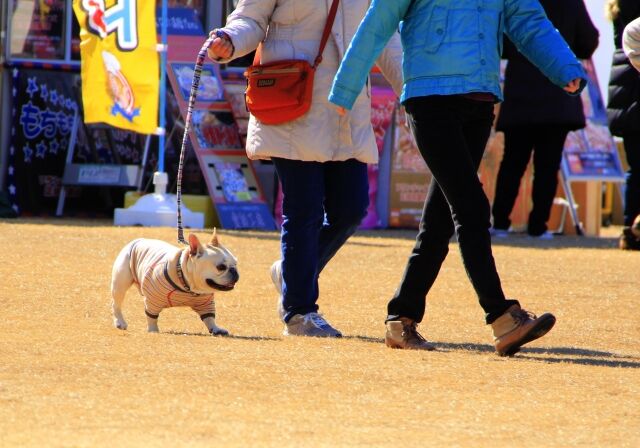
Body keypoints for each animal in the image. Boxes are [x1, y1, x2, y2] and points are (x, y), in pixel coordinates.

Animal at [110, 229, 239, 335]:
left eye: (236, 263)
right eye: (221, 267)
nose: (235, 271)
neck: (187, 285)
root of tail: (138, 240)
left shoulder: (205, 303)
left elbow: (209, 317)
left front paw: (215, 328)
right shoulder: (152, 300)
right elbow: (151, 317)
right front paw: (153, 330)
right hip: (120, 284)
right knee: (116, 304)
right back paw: (120, 322)